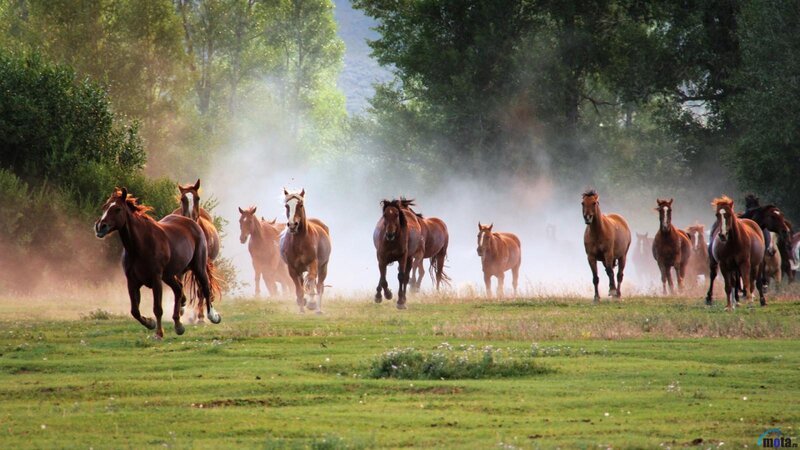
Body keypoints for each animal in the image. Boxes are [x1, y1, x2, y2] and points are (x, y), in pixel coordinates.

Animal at [94, 188, 220, 338]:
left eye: (118, 209)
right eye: (104, 207)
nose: (100, 227)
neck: (141, 245)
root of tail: (192, 222)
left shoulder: (156, 279)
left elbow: (157, 308)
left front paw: (159, 333)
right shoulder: (132, 281)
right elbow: (134, 311)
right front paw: (150, 323)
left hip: (198, 267)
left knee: (205, 287)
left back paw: (212, 316)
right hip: (169, 275)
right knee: (178, 290)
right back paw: (178, 325)